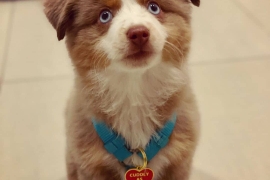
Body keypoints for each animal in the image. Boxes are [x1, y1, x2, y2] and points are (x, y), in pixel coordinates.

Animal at [44, 0, 200, 180]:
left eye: (154, 7)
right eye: (104, 16)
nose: (138, 33)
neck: (134, 93)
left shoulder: (179, 163)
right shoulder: (91, 166)